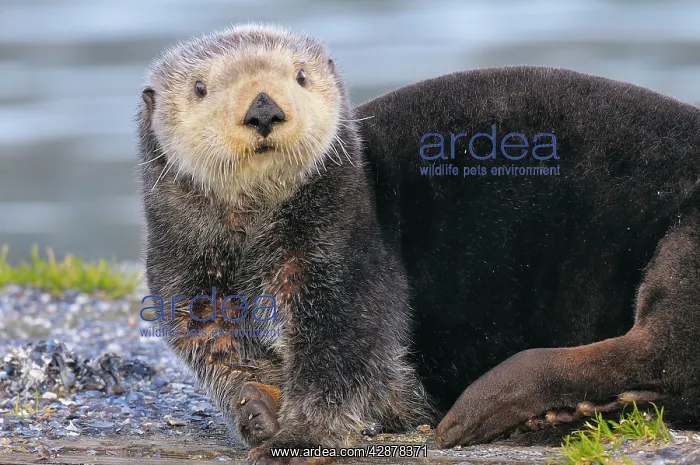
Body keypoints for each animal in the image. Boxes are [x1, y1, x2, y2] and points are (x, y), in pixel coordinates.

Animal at [137, 24, 428, 463]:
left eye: (301, 75)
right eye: (200, 87)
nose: (263, 109)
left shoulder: (339, 257)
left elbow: (337, 355)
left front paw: (299, 438)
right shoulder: (183, 273)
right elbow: (220, 348)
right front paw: (257, 409)